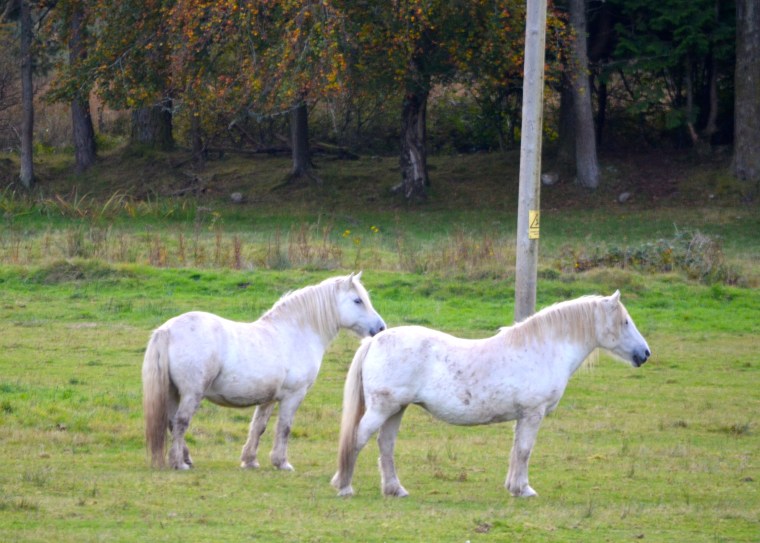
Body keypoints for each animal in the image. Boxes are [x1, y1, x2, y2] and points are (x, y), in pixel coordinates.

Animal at [142, 272, 386, 471]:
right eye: (358, 300)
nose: (380, 328)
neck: (295, 333)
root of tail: (167, 329)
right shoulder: (293, 396)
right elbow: (284, 428)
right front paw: (282, 462)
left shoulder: (268, 398)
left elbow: (258, 427)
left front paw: (250, 460)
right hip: (192, 393)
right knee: (181, 422)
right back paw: (179, 463)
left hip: (173, 392)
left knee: (172, 422)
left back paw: (186, 458)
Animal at [331, 290, 650, 498]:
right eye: (625, 322)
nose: (645, 354)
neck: (543, 349)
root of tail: (374, 340)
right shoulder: (533, 414)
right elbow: (525, 451)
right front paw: (524, 490)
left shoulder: (523, 416)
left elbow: (516, 451)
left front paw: (513, 487)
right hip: (381, 409)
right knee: (357, 440)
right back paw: (344, 486)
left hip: (396, 410)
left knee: (385, 446)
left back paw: (395, 489)